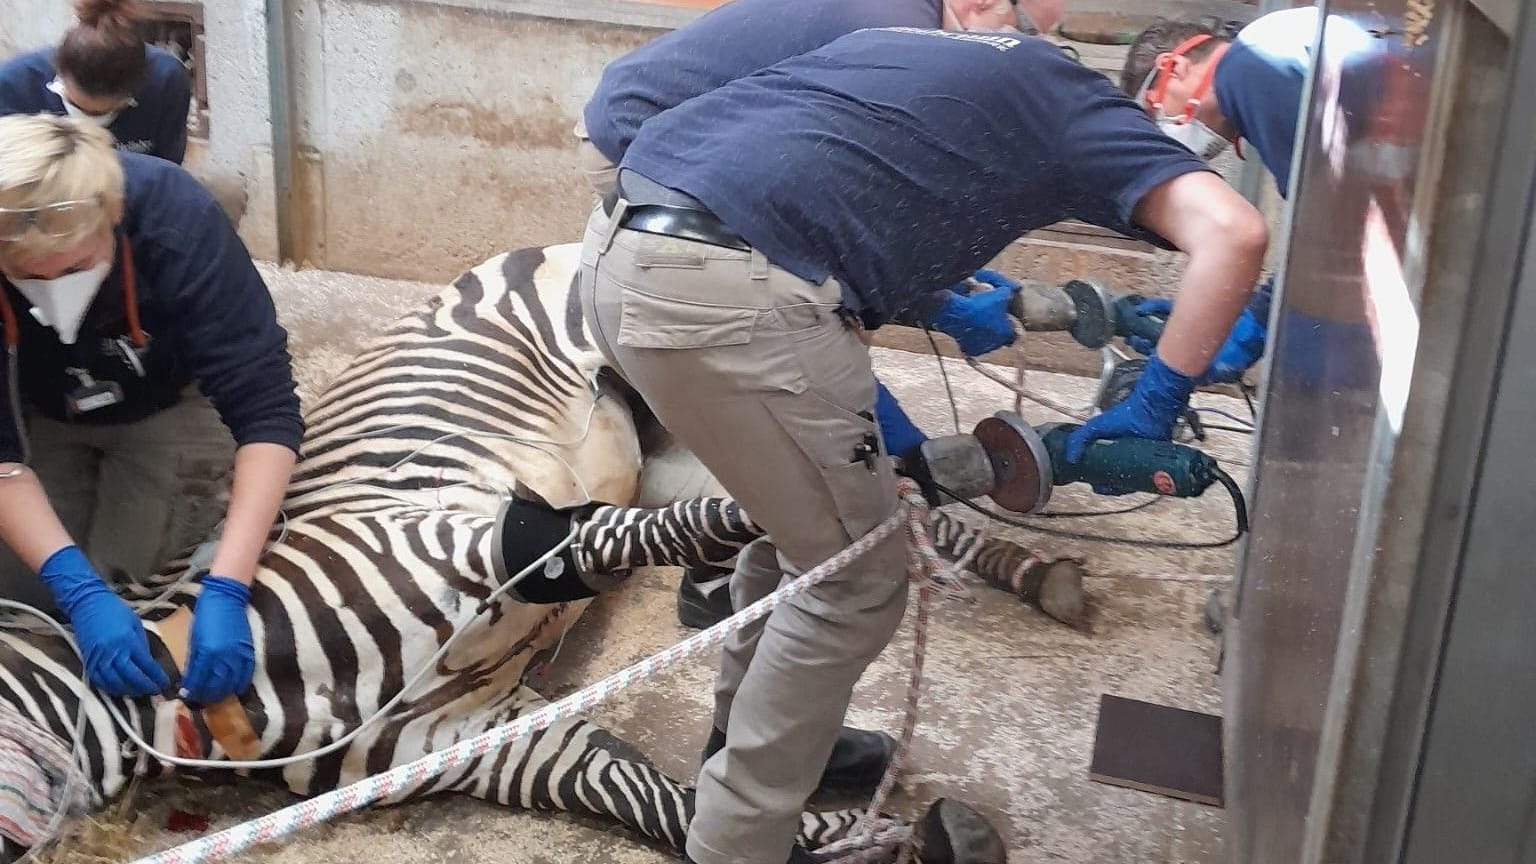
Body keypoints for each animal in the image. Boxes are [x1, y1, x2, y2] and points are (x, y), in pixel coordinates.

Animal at [0, 244, 1075, 860]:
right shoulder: (485, 740)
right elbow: (650, 798)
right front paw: (849, 832)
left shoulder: (494, 537)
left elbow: (628, 541)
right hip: (667, 441)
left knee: (839, 497)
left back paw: (1005, 533)